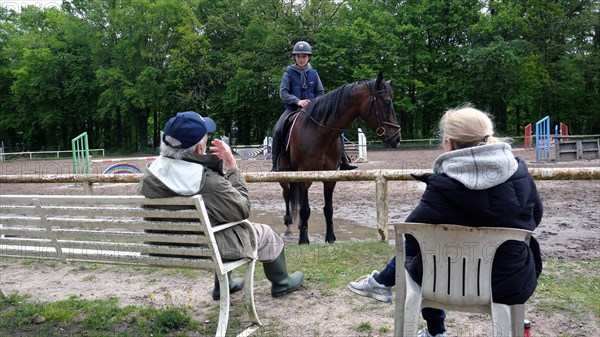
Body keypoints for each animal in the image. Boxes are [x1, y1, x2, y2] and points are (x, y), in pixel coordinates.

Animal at [278, 72, 400, 243]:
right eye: (387, 102)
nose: (397, 137)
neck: (321, 133)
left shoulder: (330, 176)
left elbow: (328, 209)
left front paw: (330, 237)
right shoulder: (304, 175)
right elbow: (305, 209)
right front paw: (304, 240)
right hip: (284, 175)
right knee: (287, 195)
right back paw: (289, 227)